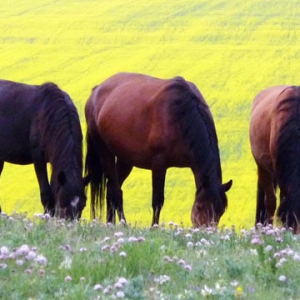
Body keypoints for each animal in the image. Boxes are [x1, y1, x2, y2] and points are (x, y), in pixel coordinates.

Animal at [84, 73, 232, 227]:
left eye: (221, 211)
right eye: (199, 207)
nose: (206, 230)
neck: (181, 114)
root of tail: (96, 91)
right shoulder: (159, 163)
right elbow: (157, 200)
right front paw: (154, 226)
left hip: (125, 159)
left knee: (111, 188)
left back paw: (111, 223)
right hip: (105, 152)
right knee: (116, 191)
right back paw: (123, 223)